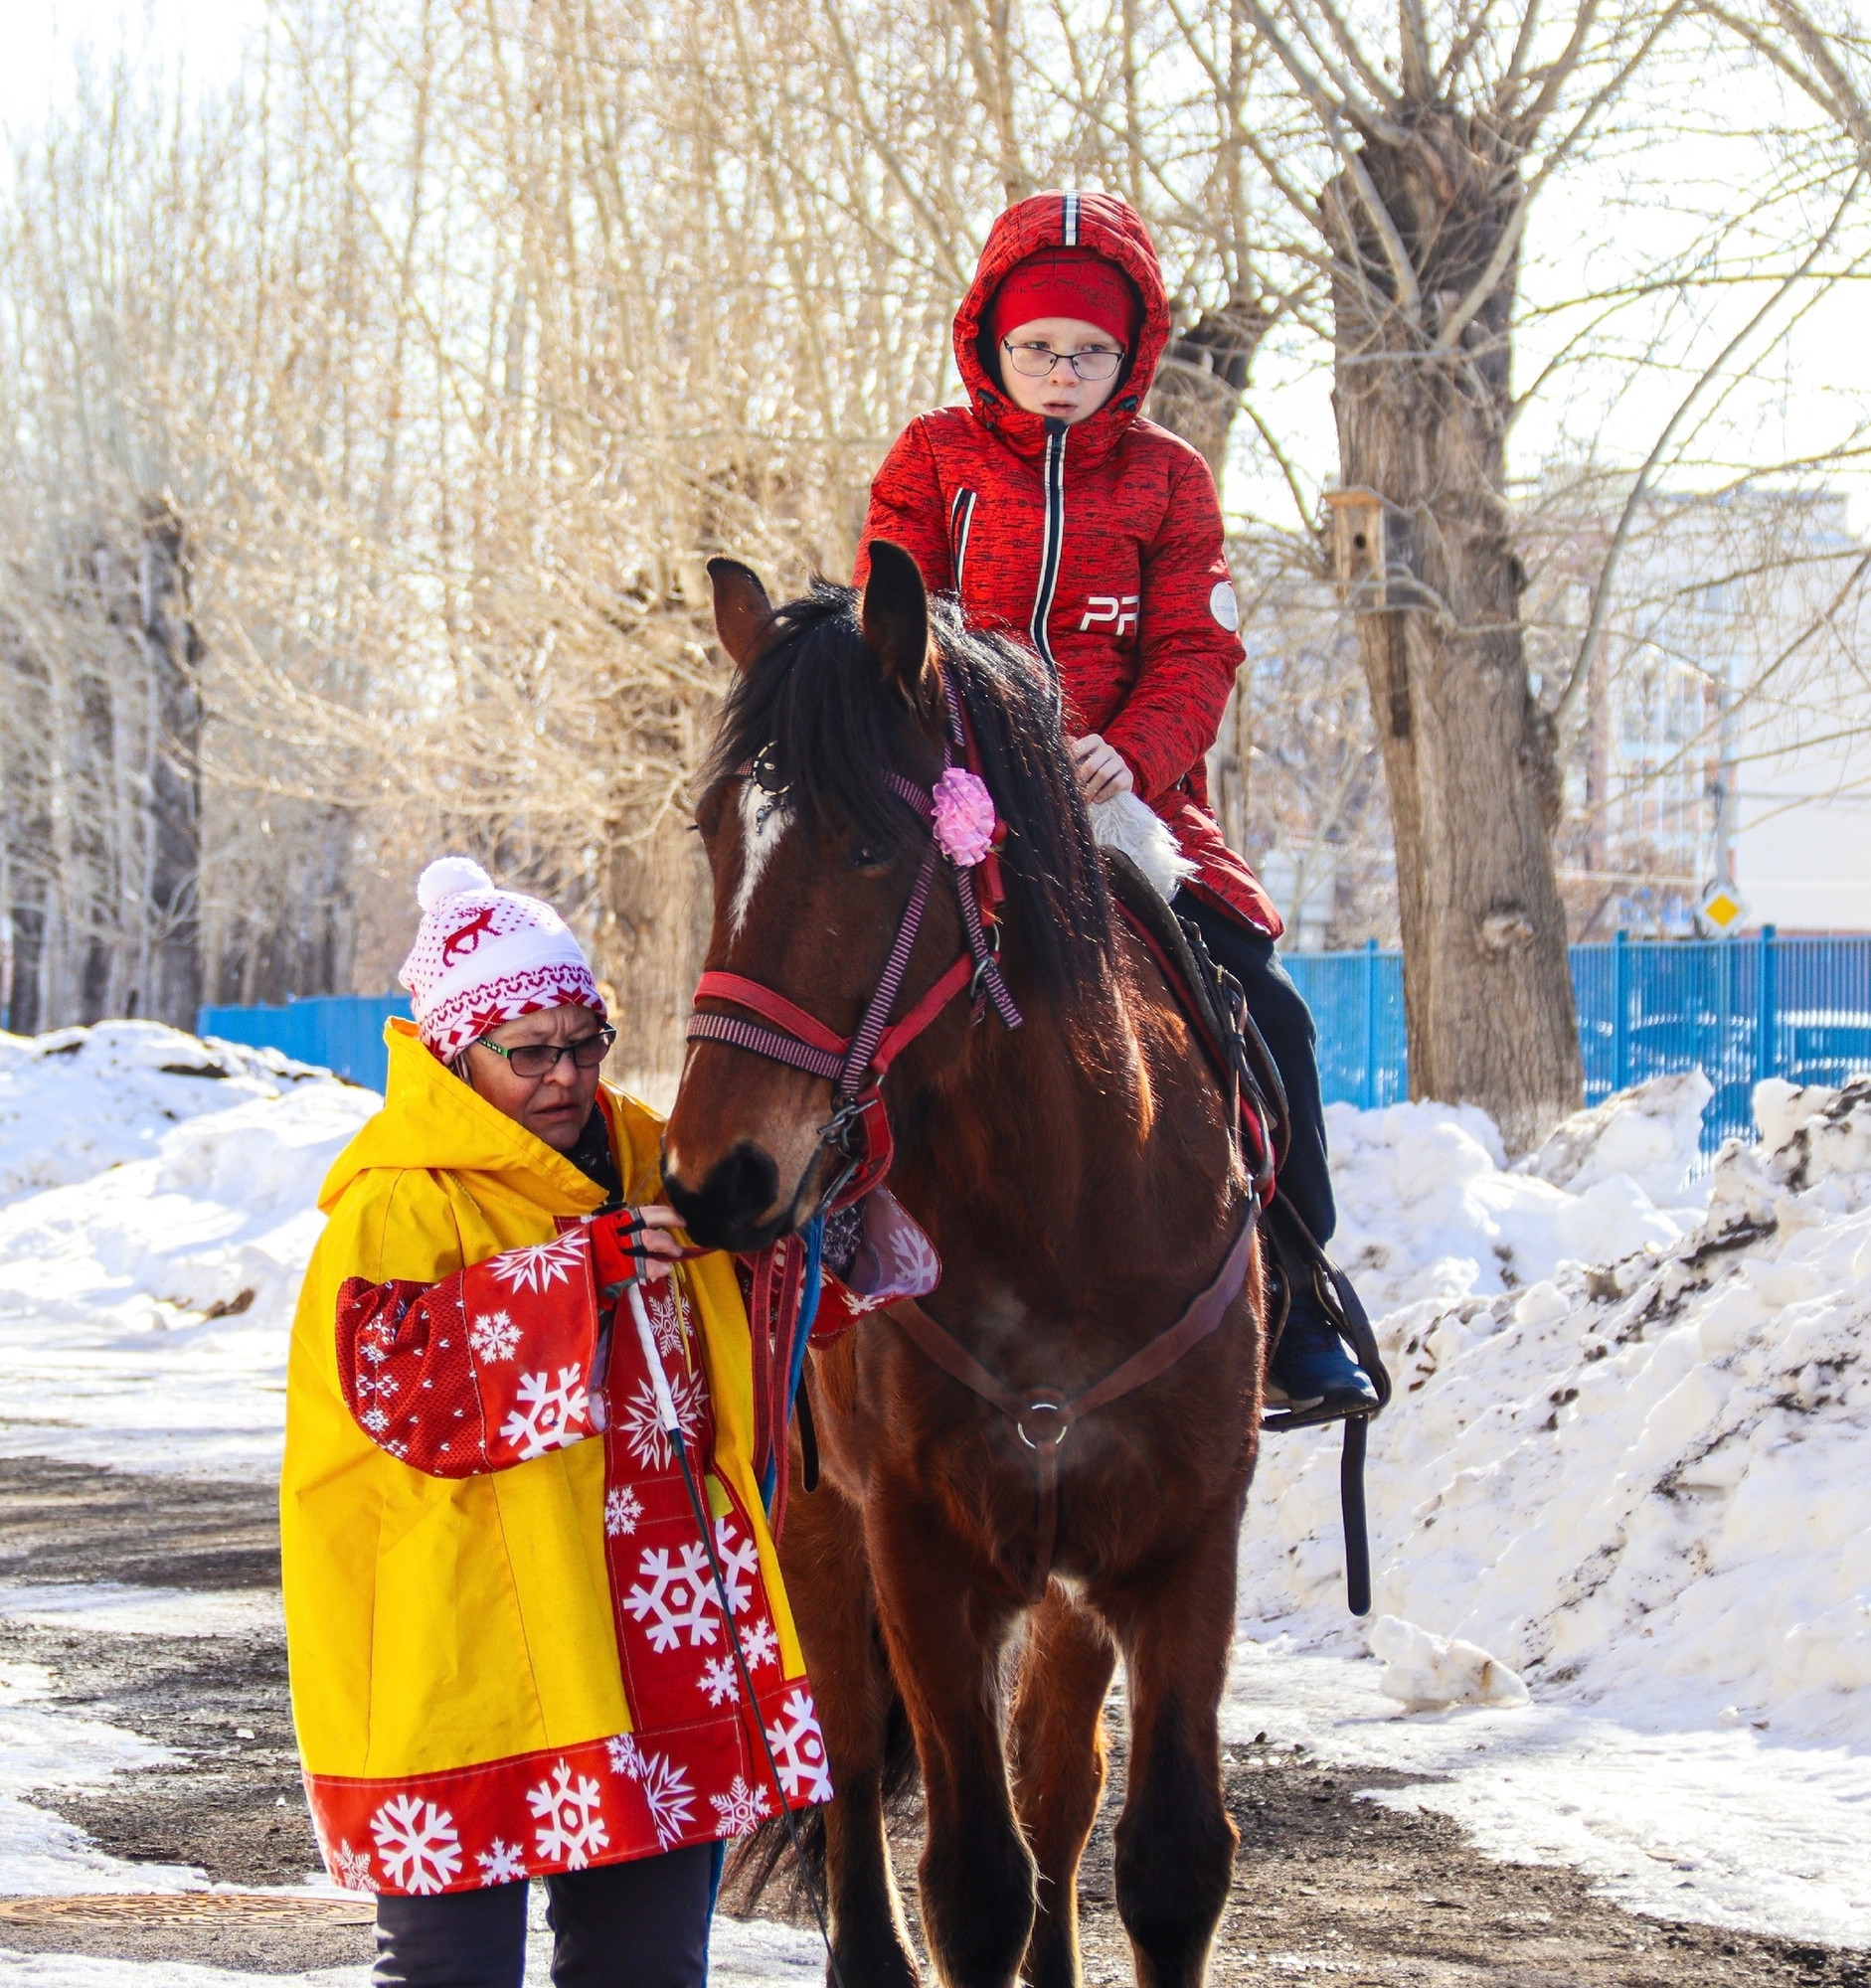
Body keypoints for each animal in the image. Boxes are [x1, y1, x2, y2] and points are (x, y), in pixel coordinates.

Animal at [664, 545, 1265, 1988]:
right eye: (715, 834)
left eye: (868, 846)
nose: (716, 1177)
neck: (1064, 1213)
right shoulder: (919, 1544)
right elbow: (970, 1880)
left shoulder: (1182, 1538)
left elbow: (1165, 1857)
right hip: (818, 1523)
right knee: (841, 1755)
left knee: (1056, 1775)